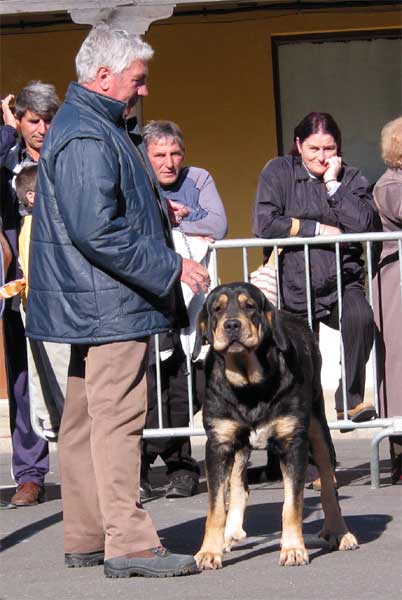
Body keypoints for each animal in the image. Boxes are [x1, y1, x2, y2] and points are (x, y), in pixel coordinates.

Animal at [193, 284, 356, 568]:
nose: (232, 325)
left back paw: (339, 531)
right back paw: (230, 533)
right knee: (239, 485)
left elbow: (292, 505)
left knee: (328, 485)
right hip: (238, 445)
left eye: (250, 306)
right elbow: (216, 508)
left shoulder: (293, 444)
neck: (248, 385)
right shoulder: (218, 445)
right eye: (217, 309)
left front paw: (293, 548)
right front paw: (210, 551)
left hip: (318, 428)